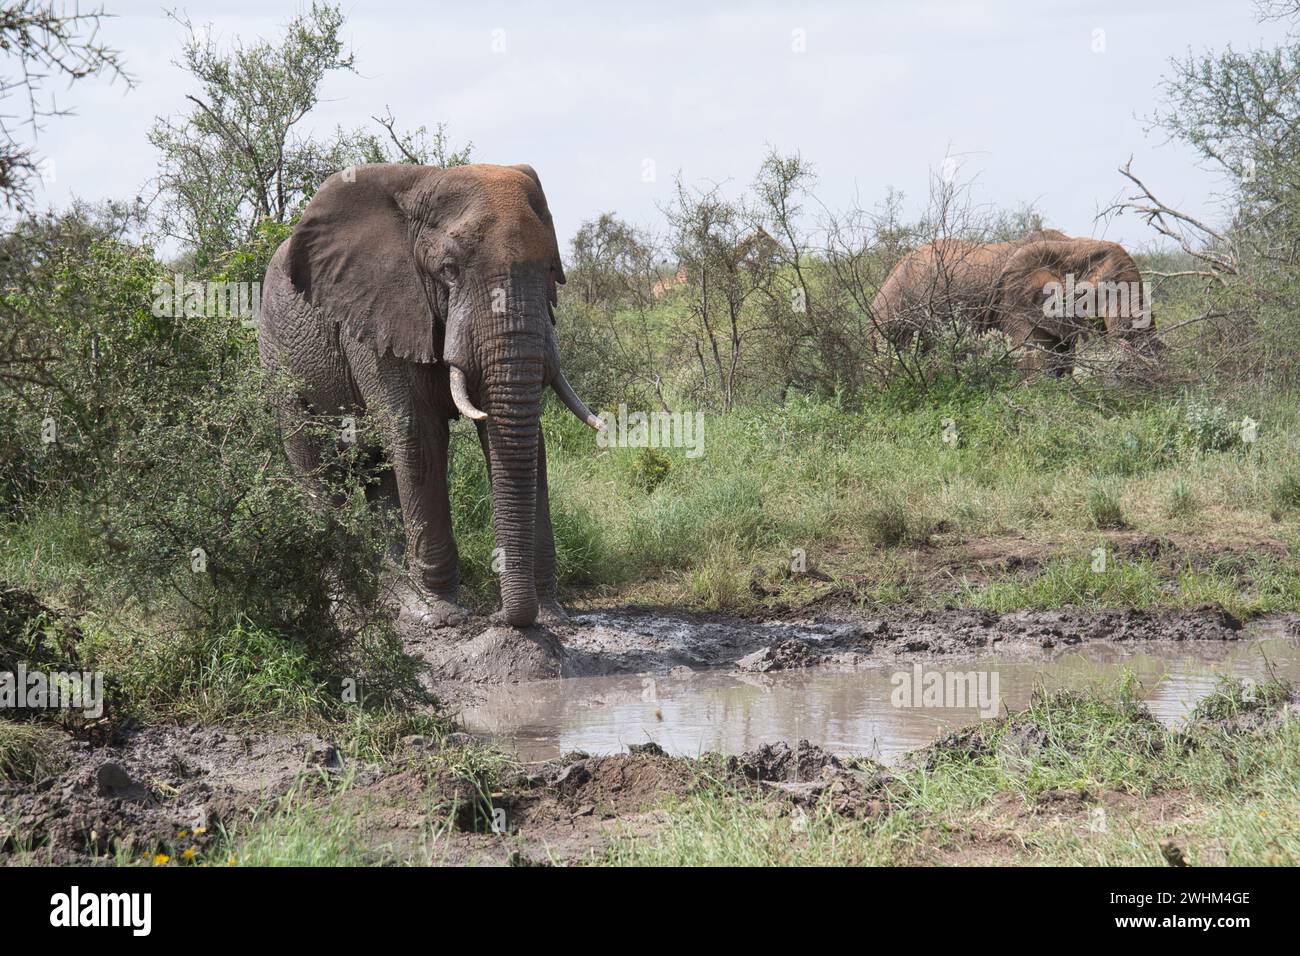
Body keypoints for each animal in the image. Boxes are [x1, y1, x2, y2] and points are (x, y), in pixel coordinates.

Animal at [257, 163, 602, 629]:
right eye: (449, 270)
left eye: (551, 270)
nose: (506, 618)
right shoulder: (378, 318)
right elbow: (417, 435)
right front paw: (444, 614)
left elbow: (523, 440)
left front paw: (552, 615)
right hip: (279, 359)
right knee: (319, 473)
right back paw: (350, 611)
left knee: (379, 476)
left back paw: (397, 600)